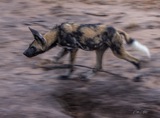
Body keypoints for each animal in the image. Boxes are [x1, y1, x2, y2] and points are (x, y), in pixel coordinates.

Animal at [23, 23, 151, 78]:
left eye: (32, 47)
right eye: (29, 46)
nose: (24, 53)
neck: (57, 33)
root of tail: (116, 30)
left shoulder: (73, 49)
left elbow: (70, 65)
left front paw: (67, 75)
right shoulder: (66, 49)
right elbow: (56, 59)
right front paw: (50, 65)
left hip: (118, 52)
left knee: (136, 60)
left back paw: (138, 76)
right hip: (99, 50)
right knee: (99, 66)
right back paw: (87, 75)